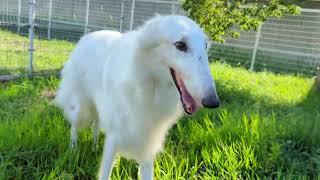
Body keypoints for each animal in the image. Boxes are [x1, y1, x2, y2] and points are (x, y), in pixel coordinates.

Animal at [55, 14, 220, 179]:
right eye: (180, 45)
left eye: (205, 46)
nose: (213, 102)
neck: (150, 85)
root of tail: (88, 35)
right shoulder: (114, 138)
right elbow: (105, 173)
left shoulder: (147, 145)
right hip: (80, 108)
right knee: (74, 127)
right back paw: (73, 150)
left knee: (95, 125)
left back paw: (94, 147)